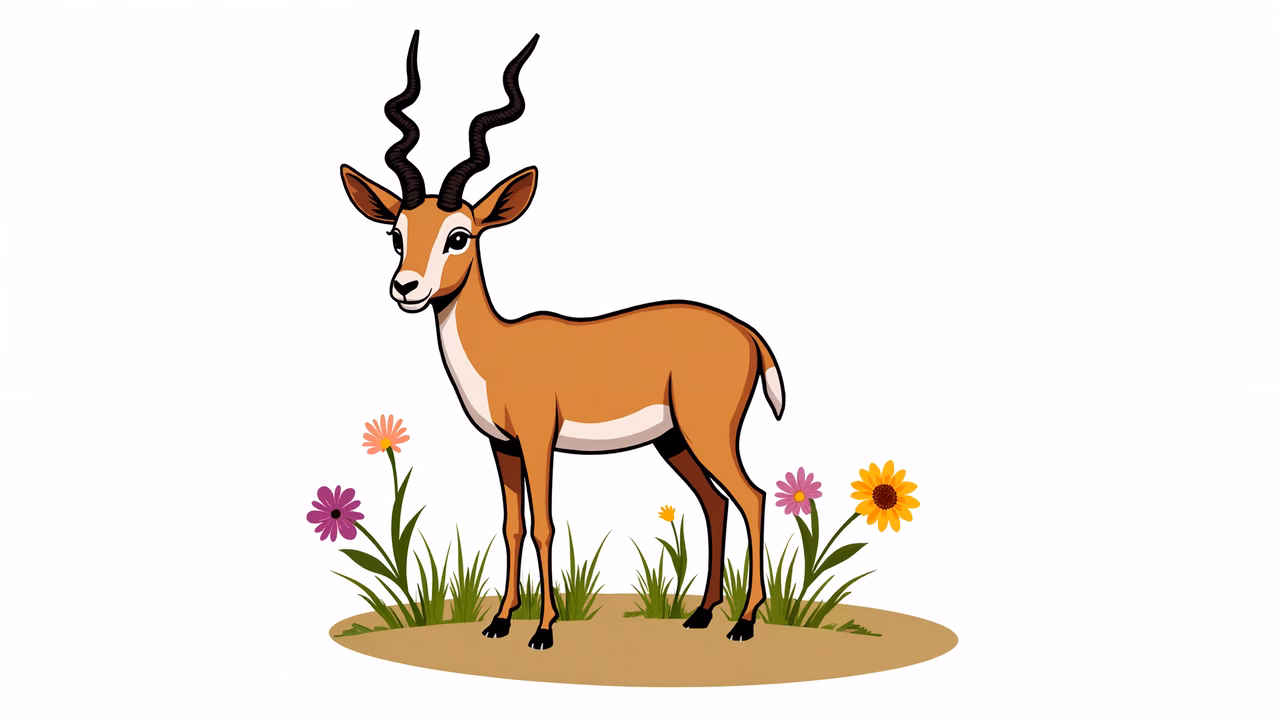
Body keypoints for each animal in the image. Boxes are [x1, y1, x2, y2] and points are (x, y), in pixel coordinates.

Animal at [339, 31, 785, 650]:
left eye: (460, 235)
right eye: (395, 234)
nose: (406, 288)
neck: (499, 349)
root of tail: (747, 332)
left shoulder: (536, 439)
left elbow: (545, 525)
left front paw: (543, 631)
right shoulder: (501, 445)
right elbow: (511, 525)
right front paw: (501, 621)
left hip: (707, 431)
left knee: (752, 497)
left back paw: (743, 624)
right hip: (673, 441)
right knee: (716, 503)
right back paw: (700, 614)